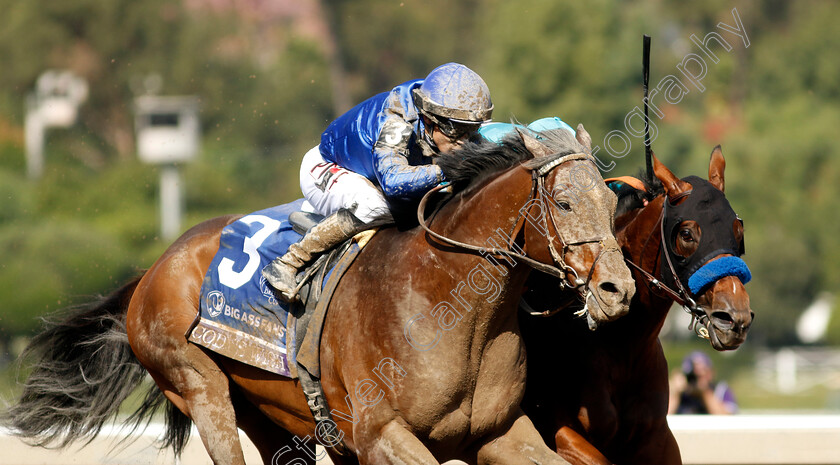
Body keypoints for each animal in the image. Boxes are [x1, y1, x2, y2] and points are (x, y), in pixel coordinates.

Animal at [1, 127, 636, 464]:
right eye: (564, 203)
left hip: (271, 414)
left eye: (611, 202)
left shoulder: (500, 434)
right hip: (198, 386)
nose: (618, 289)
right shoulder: (382, 437)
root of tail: (156, 267)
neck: (455, 308)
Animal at [520, 147, 752, 462]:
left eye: (738, 230)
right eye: (687, 234)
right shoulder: (558, 432)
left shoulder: (656, 437)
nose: (735, 319)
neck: (620, 345)